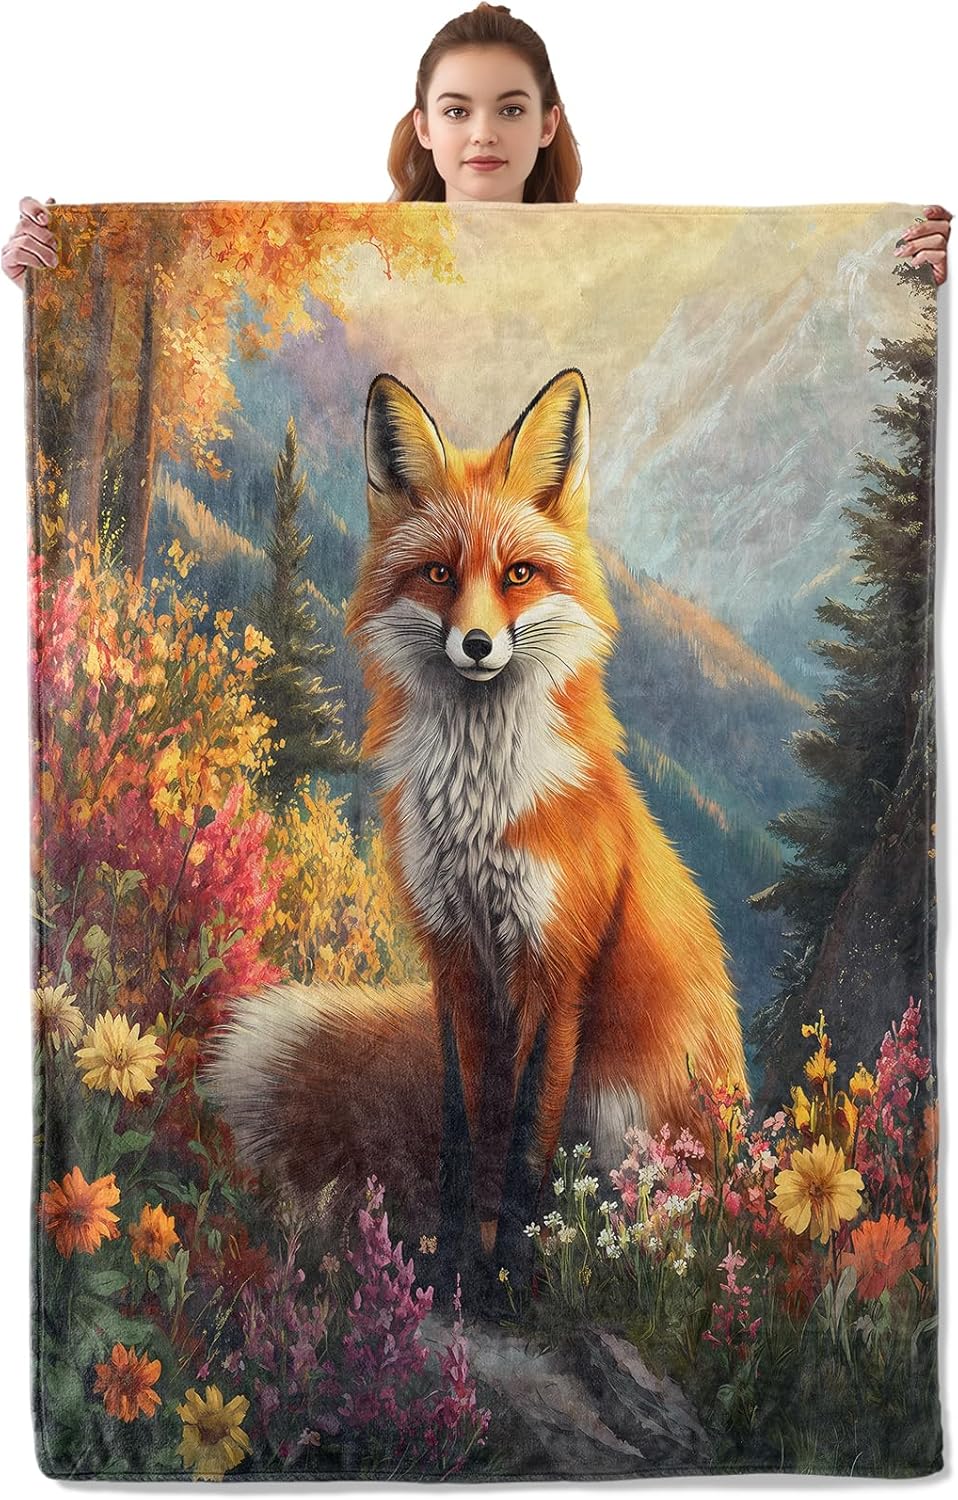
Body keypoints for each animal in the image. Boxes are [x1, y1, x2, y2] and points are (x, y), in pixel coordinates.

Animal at [204, 366, 747, 1311]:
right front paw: (456, 1264)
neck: (479, 815)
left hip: (630, 1110)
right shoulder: (451, 952)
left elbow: (530, 1143)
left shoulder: (557, 965)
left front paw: (511, 1282)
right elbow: (465, 1129)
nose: (480, 643)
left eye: (519, 573)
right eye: (439, 574)